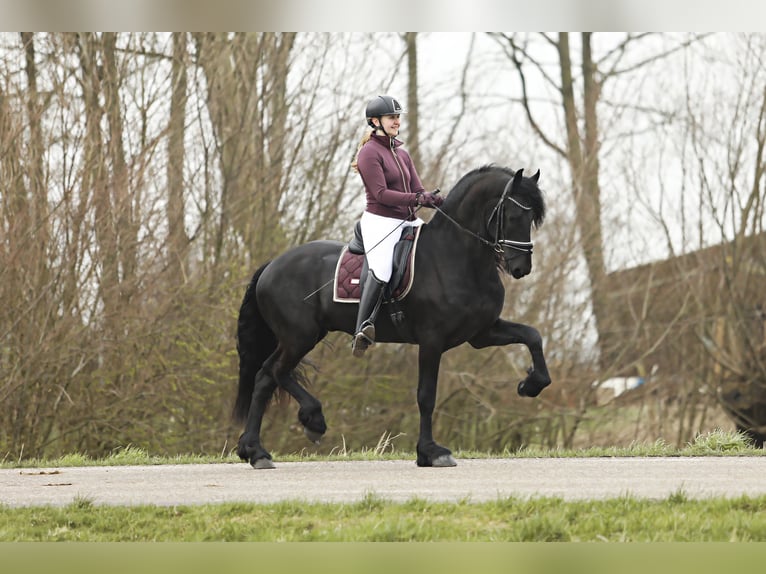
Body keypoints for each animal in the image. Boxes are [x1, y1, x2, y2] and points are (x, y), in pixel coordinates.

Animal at [234, 165, 552, 468]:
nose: (521, 268)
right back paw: (310, 422)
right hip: (299, 337)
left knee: (265, 377)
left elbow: (533, 336)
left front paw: (531, 384)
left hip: (298, 338)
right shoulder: (432, 340)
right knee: (274, 372)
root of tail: (272, 265)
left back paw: (255, 451)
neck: (456, 257)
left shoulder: (482, 333)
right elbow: (426, 396)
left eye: (532, 218)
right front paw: (431, 452)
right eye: (513, 215)